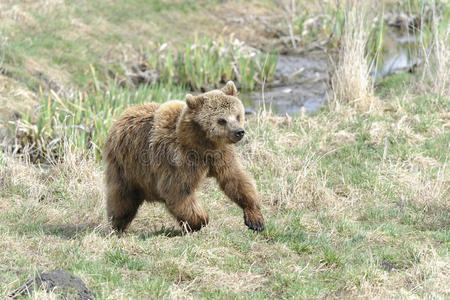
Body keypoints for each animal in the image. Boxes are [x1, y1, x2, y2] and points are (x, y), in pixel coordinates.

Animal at [103, 81, 264, 232]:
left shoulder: (221, 154)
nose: (239, 131)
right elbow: (178, 192)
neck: (202, 144)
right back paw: (116, 226)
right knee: (122, 199)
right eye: (221, 120)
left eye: (237, 115)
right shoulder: (177, 160)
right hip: (125, 166)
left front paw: (255, 219)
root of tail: (123, 115)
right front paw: (200, 220)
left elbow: (235, 179)